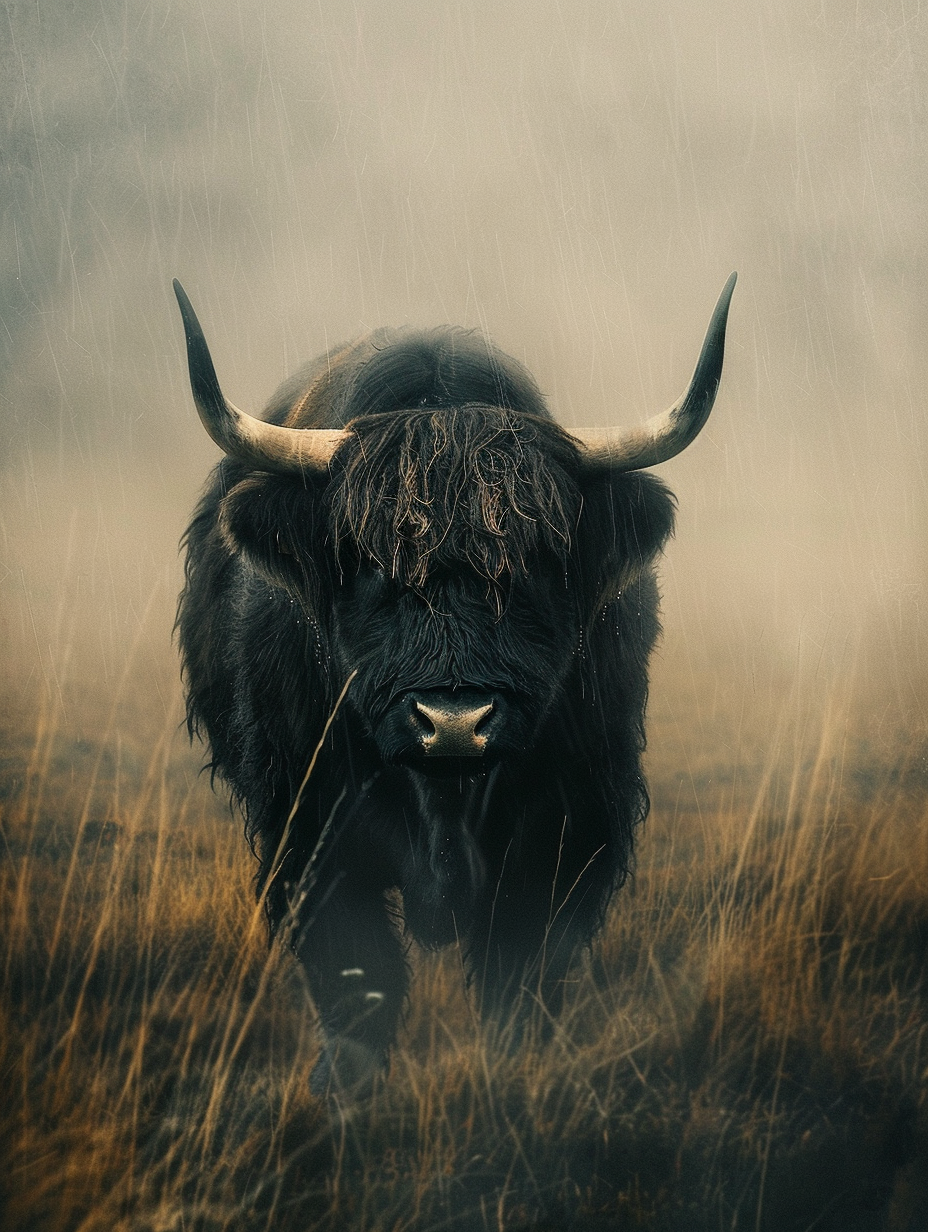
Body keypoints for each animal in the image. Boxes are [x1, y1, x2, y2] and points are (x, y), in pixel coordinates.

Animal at [173, 272, 736, 1094]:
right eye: (367, 562)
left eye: (535, 563)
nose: (454, 722)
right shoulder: (306, 827)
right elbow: (356, 975)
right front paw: (341, 1091)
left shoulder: (572, 822)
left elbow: (521, 970)